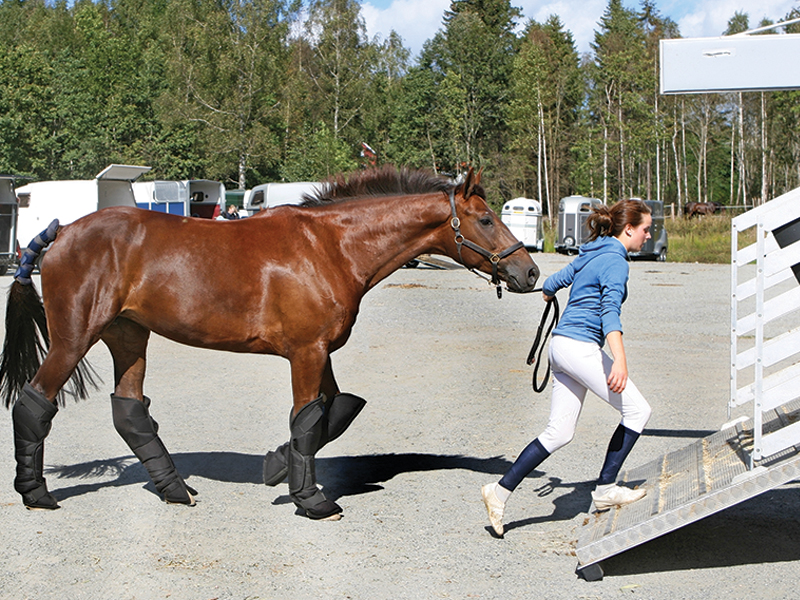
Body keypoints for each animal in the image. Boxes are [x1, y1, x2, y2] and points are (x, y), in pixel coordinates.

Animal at [0, 166, 539, 520]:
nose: (529, 272)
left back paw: (176, 489)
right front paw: (312, 499)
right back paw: (36, 494)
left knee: (129, 411)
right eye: (486, 219)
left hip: (129, 336)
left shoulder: (321, 353)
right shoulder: (306, 353)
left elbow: (336, 410)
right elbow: (307, 419)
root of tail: (61, 233)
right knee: (34, 402)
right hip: (75, 337)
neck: (329, 247)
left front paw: (277, 466)